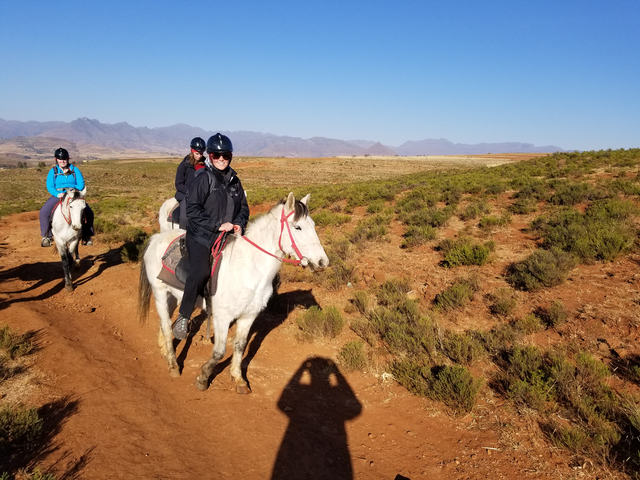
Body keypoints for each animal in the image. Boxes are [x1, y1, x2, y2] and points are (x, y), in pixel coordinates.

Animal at [138, 192, 329, 393]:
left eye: (313, 225)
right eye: (298, 227)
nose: (322, 262)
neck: (250, 268)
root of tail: (156, 238)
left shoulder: (249, 316)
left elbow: (239, 346)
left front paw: (238, 379)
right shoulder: (222, 317)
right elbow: (219, 351)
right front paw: (203, 376)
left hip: (174, 296)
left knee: (165, 321)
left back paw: (164, 350)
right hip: (159, 293)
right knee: (167, 326)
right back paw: (173, 364)